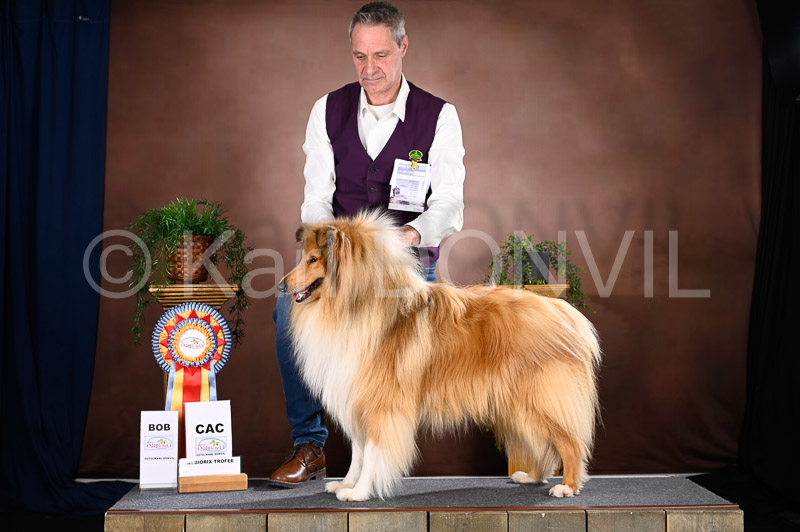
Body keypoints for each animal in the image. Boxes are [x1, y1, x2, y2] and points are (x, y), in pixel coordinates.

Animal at [278, 211, 601, 501]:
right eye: (305, 257)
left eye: (314, 259)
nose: (281, 285)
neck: (356, 306)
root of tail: (565, 312)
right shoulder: (356, 397)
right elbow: (358, 453)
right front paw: (346, 484)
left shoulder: (381, 404)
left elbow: (372, 452)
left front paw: (358, 492)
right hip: (515, 404)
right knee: (541, 445)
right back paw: (531, 476)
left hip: (537, 398)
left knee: (570, 442)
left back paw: (567, 487)